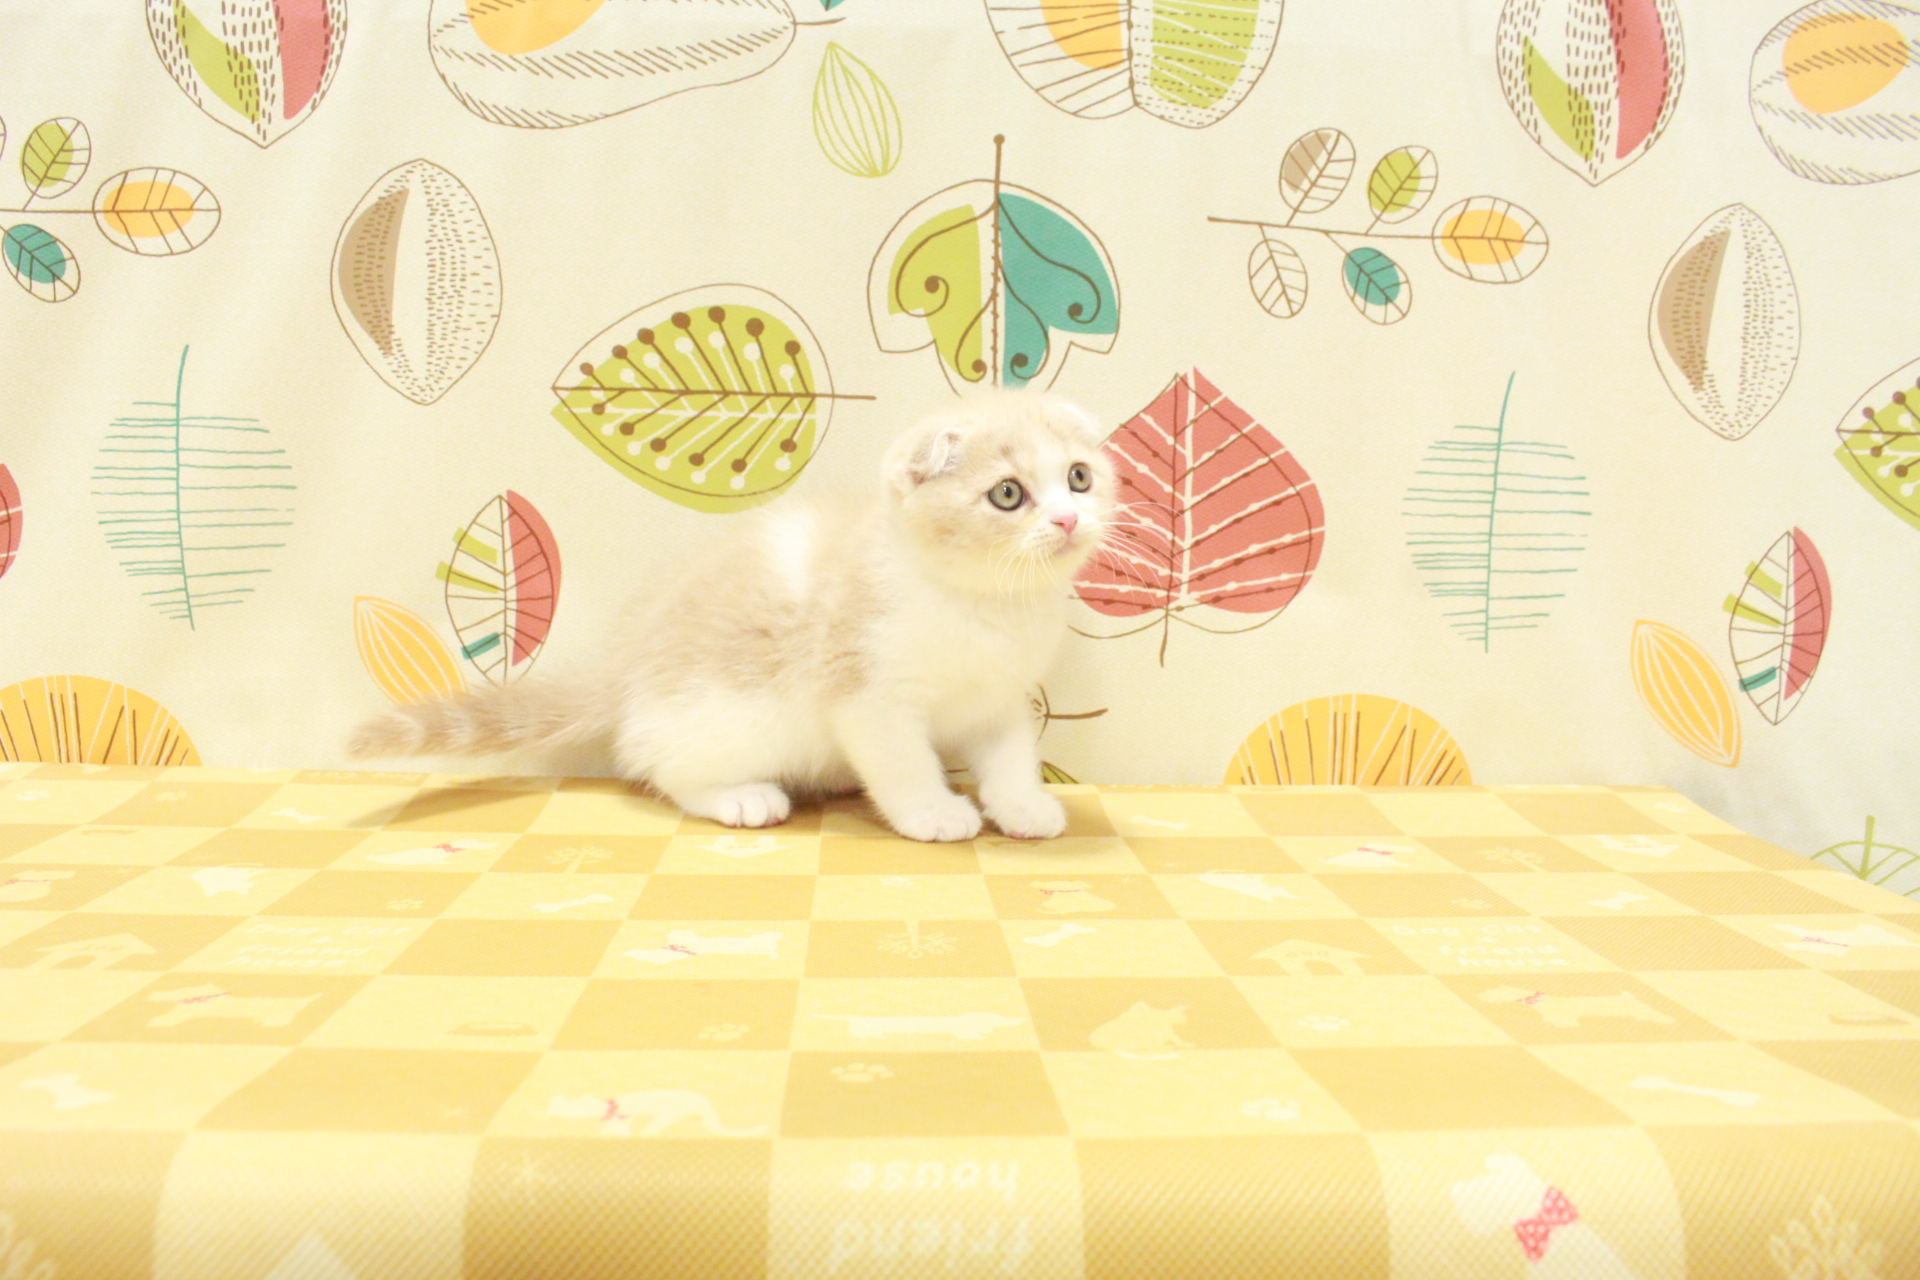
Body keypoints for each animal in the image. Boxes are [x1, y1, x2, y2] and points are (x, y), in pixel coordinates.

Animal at [348, 391, 1116, 842]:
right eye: (1008, 494)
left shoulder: (1001, 697)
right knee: (661, 763)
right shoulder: (868, 691)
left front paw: (1022, 806)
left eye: (1079, 477)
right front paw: (933, 811)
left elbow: (1011, 755)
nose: (1067, 518)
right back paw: (739, 798)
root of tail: (628, 663)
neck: (985, 602)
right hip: (732, 716)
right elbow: (901, 761)